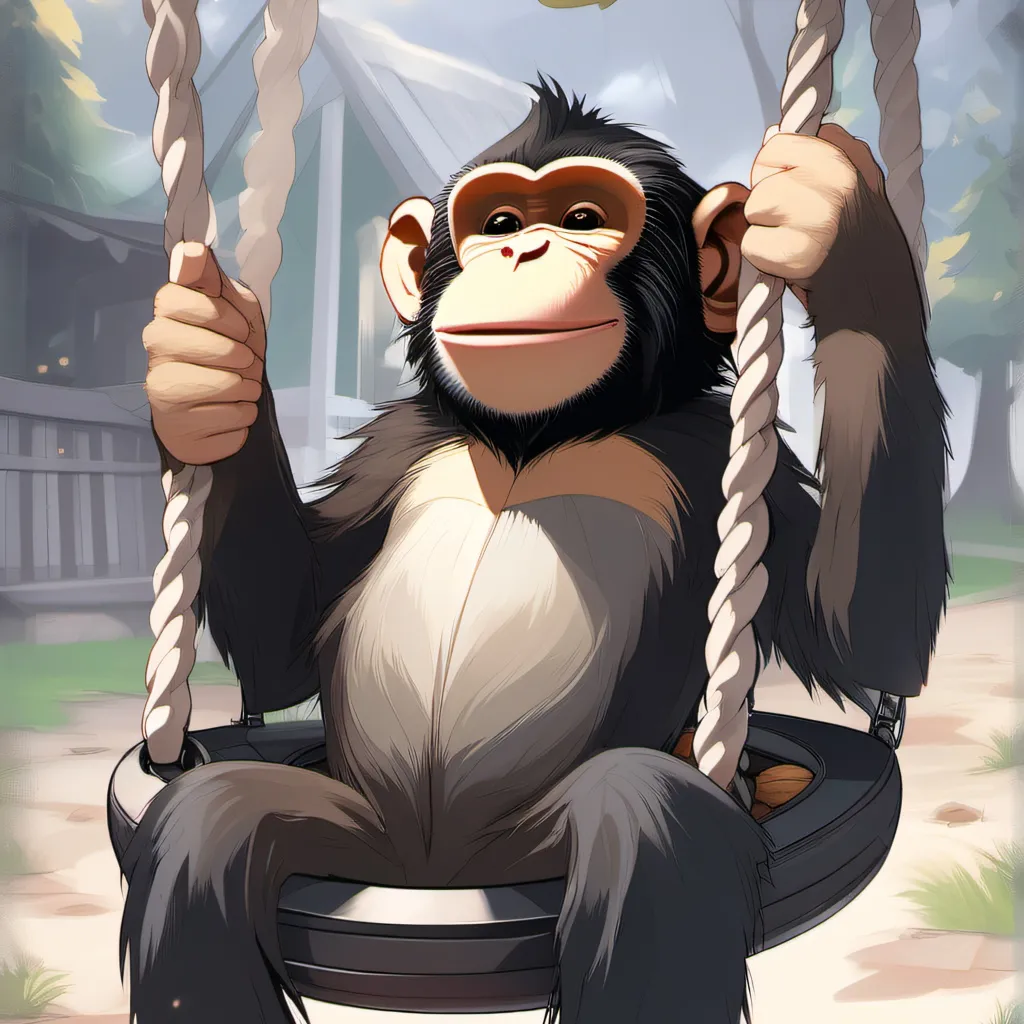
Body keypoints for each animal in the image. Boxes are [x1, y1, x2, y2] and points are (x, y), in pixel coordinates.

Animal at [121, 79, 948, 1024]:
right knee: (209, 818)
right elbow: (283, 639)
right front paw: (202, 366)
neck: (538, 439)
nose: (522, 253)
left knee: (649, 822)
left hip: (521, 858)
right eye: (499, 220)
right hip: (357, 836)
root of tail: (433, 877)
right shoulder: (396, 447)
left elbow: (861, 633)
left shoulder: (733, 466)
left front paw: (841, 228)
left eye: (586, 217)